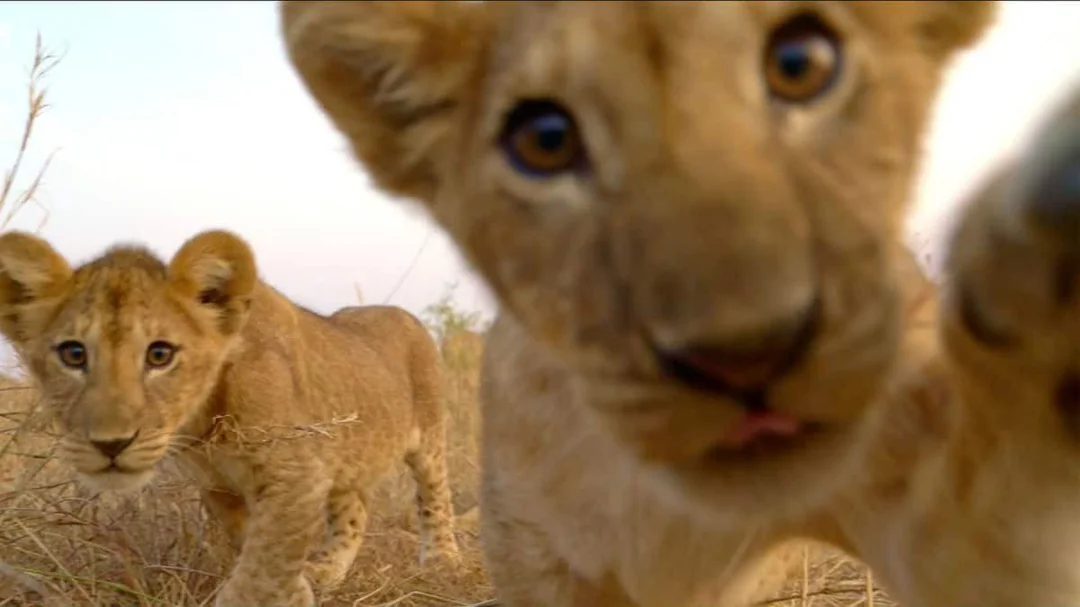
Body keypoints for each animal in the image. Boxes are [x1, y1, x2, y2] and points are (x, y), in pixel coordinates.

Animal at [0, 229, 461, 607]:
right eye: (73, 354)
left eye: (159, 354)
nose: (110, 443)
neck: (201, 421)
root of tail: (405, 314)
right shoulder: (220, 486)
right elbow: (257, 547)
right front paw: (300, 587)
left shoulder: (298, 473)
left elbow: (263, 564)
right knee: (355, 514)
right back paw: (328, 571)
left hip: (430, 437)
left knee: (435, 496)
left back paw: (443, 560)